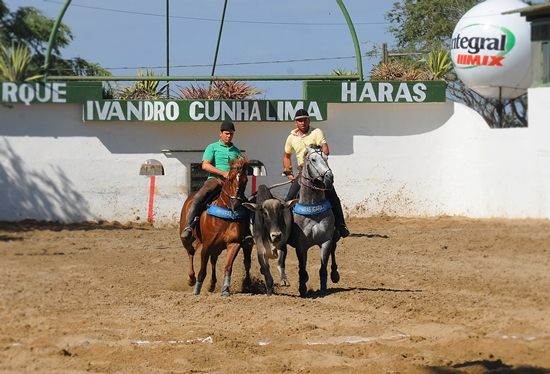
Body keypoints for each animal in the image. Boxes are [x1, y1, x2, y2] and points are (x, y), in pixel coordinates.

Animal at [180, 156, 251, 296]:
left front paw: (225, 289)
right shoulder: (206, 246)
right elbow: (202, 271)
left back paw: (212, 284)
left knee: (213, 260)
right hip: (187, 238)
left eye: (245, 180)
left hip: (217, 246)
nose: (236, 204)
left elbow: (228, 267)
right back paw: (191, 279)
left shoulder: (234, 244)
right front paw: (196, 290)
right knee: (190, 252)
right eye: (230, 179)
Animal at [288, 145, 340, 296]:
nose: (329, 177)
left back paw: (335, 274)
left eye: (326, 158)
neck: (312, 206)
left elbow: (323, 268)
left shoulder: (326, 240)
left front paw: (323, 290)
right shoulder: (301, 245)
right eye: (313, 159)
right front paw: (302, 288)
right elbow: (302, 268)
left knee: (334, 249)